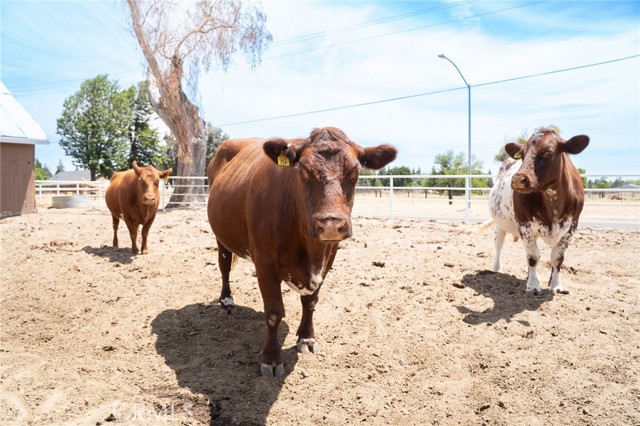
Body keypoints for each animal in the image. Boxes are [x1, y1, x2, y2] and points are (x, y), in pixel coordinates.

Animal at [206, 126, 396, 376]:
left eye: (355, 172)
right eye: (303, 172)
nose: (331, 224)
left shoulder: (328, 257)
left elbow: (311, 302)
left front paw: (306, 338)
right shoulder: (264, 262)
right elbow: (274, 312)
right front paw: (271, 358)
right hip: (221, 236)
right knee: (224, 265)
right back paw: (227, 302)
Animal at [488, 126, 588, 292]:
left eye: (548, 152)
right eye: (522, 153)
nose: (518, 179)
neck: (553, 200)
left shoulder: (572, 226)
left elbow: (557, 257)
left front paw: (555, 285)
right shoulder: (524, 223)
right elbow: (533, 256)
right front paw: (534, 285)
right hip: (499, 224)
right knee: (498, 245)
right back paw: (496, 268)